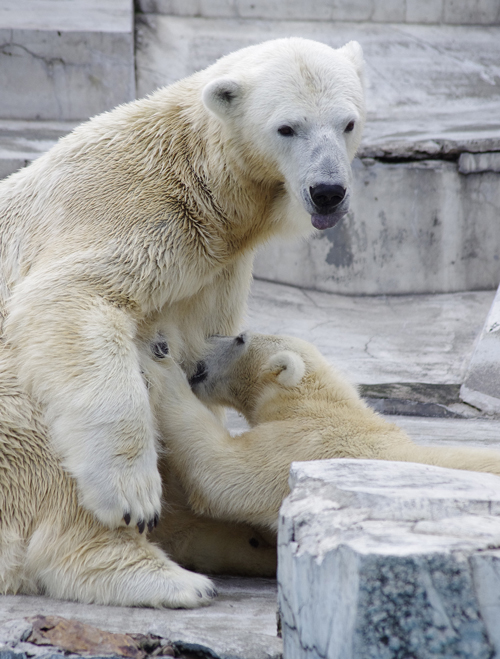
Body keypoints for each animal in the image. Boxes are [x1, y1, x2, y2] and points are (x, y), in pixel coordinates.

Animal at [0, 40, 364, 536]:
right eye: (287, 127)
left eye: (349, 123)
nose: (328, 191)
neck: (199, 173)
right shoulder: (130, 210)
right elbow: (71, 293)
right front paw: (132, 495)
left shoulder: (215, 267)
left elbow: (197, 338)